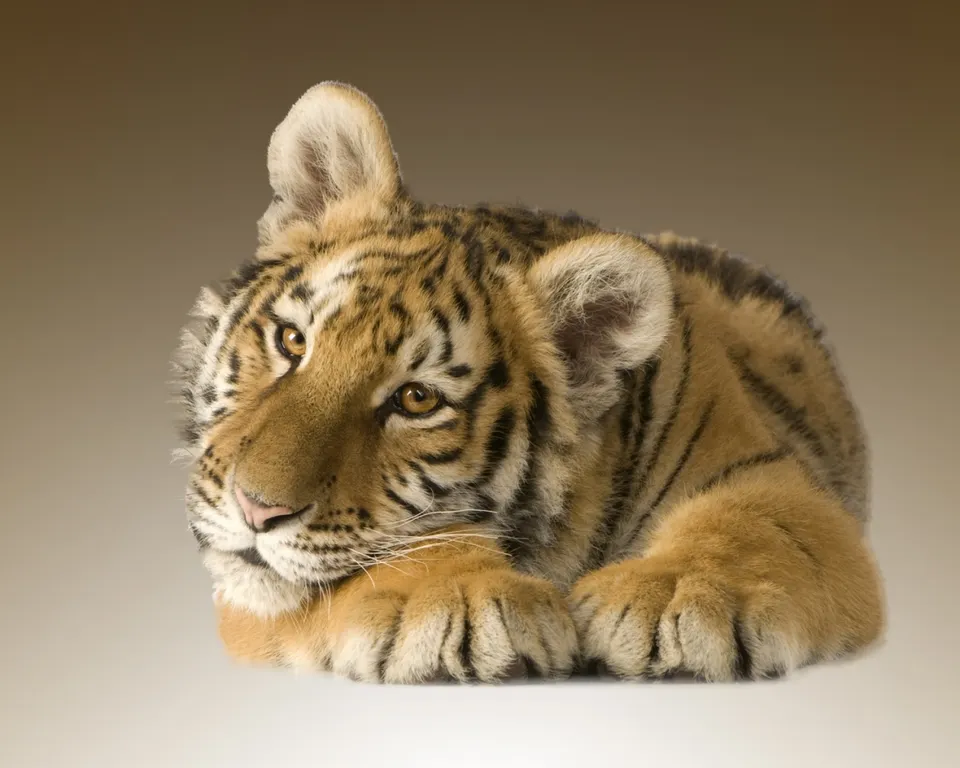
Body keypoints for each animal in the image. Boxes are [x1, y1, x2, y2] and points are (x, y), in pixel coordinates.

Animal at [173, 81, 885, 684]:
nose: (256, 511)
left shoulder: (777, 480)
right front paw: (466, 598)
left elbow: (755, 527)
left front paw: (673, 595)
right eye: (292, 341)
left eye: (417, 399)